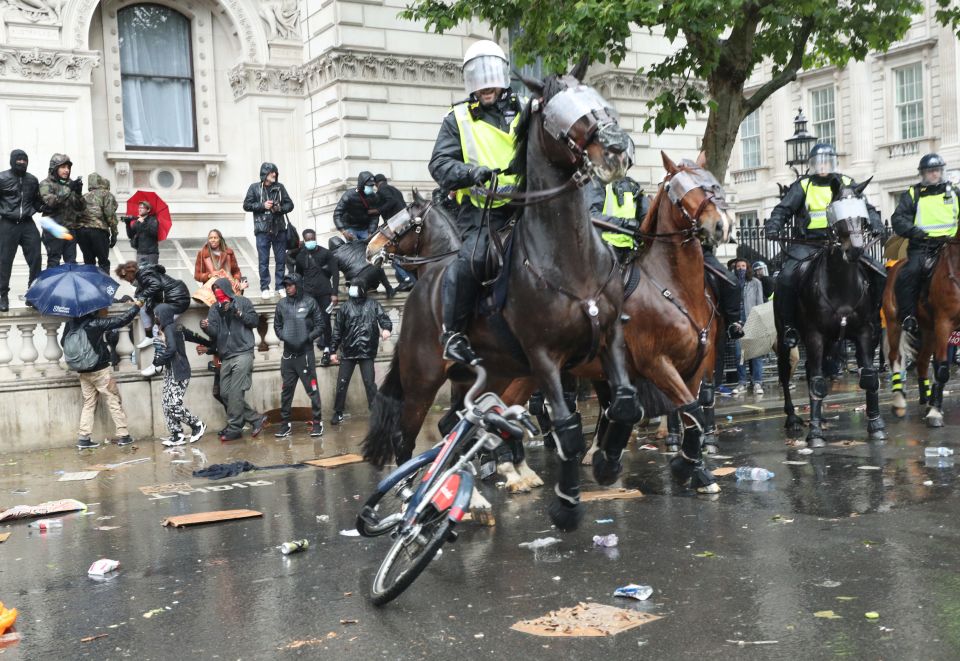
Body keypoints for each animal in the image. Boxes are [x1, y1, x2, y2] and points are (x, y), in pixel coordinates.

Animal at [364, 68, 640, 532]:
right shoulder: (543, 356)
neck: (569, 258)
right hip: (424, 379)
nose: (617, 149)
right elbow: (566, 427)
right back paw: (411, 499)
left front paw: (605, 462)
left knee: (458, 426)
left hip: (491, 375)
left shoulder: (609, 340)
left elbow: (624, 404)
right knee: (408, 435)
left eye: (600, 101)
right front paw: (565, 504)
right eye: (557, 112)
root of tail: (422, 291)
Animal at [880, 229, 960, 426]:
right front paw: (935, 414)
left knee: (923, 362)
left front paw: (934, 406)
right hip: (894, 322)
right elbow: (942, 369)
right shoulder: (944, 323)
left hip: (930, 330)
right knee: (895, 357)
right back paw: (900, 402)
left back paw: (928, 400)